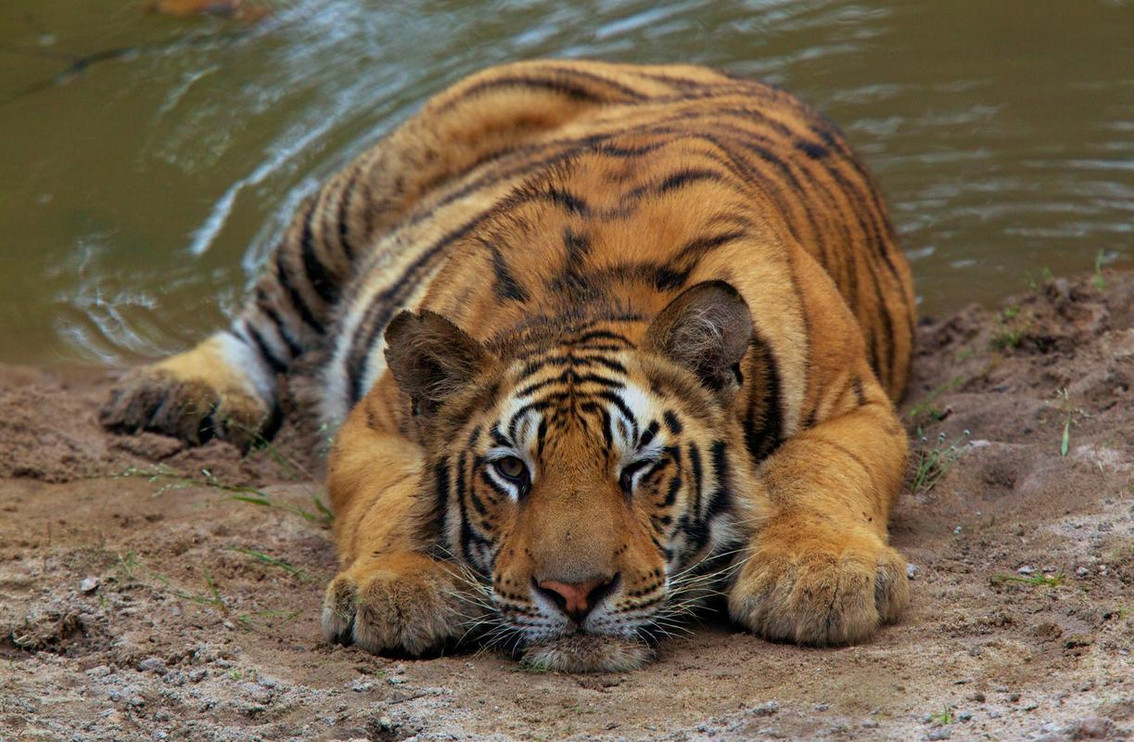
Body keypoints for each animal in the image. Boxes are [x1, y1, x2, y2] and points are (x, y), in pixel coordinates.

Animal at [101, 60, 916, 672]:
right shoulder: (377, 424)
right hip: (356, 197)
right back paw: (175, 395)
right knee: (266, 312)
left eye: (640, 469)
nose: (575, 596)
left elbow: (818, 472)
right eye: (510, 471)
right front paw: (399, 591)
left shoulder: (854, 404)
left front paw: (815, 579)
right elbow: (390, 501)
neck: (593, 300)